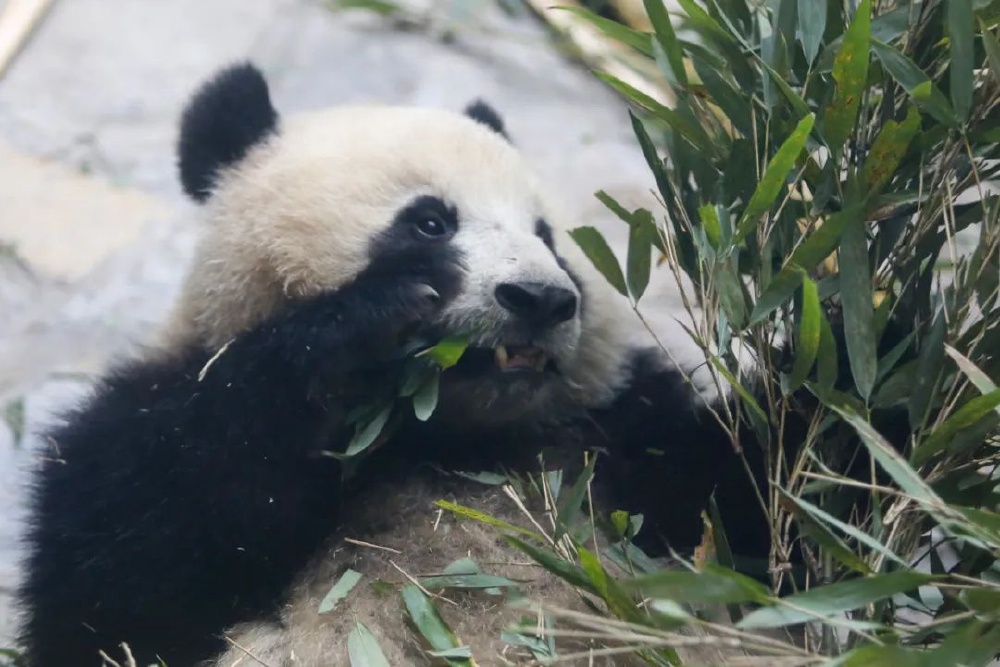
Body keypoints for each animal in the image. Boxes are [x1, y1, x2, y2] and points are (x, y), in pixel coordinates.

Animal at [17, 64, 764, 667]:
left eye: (548, 238)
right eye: (430, 222)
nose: (540, 299)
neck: (447, 439)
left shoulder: (617, 441)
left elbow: (730, 504)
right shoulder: (154, 416)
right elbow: (119, 597)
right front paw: (363, 320)